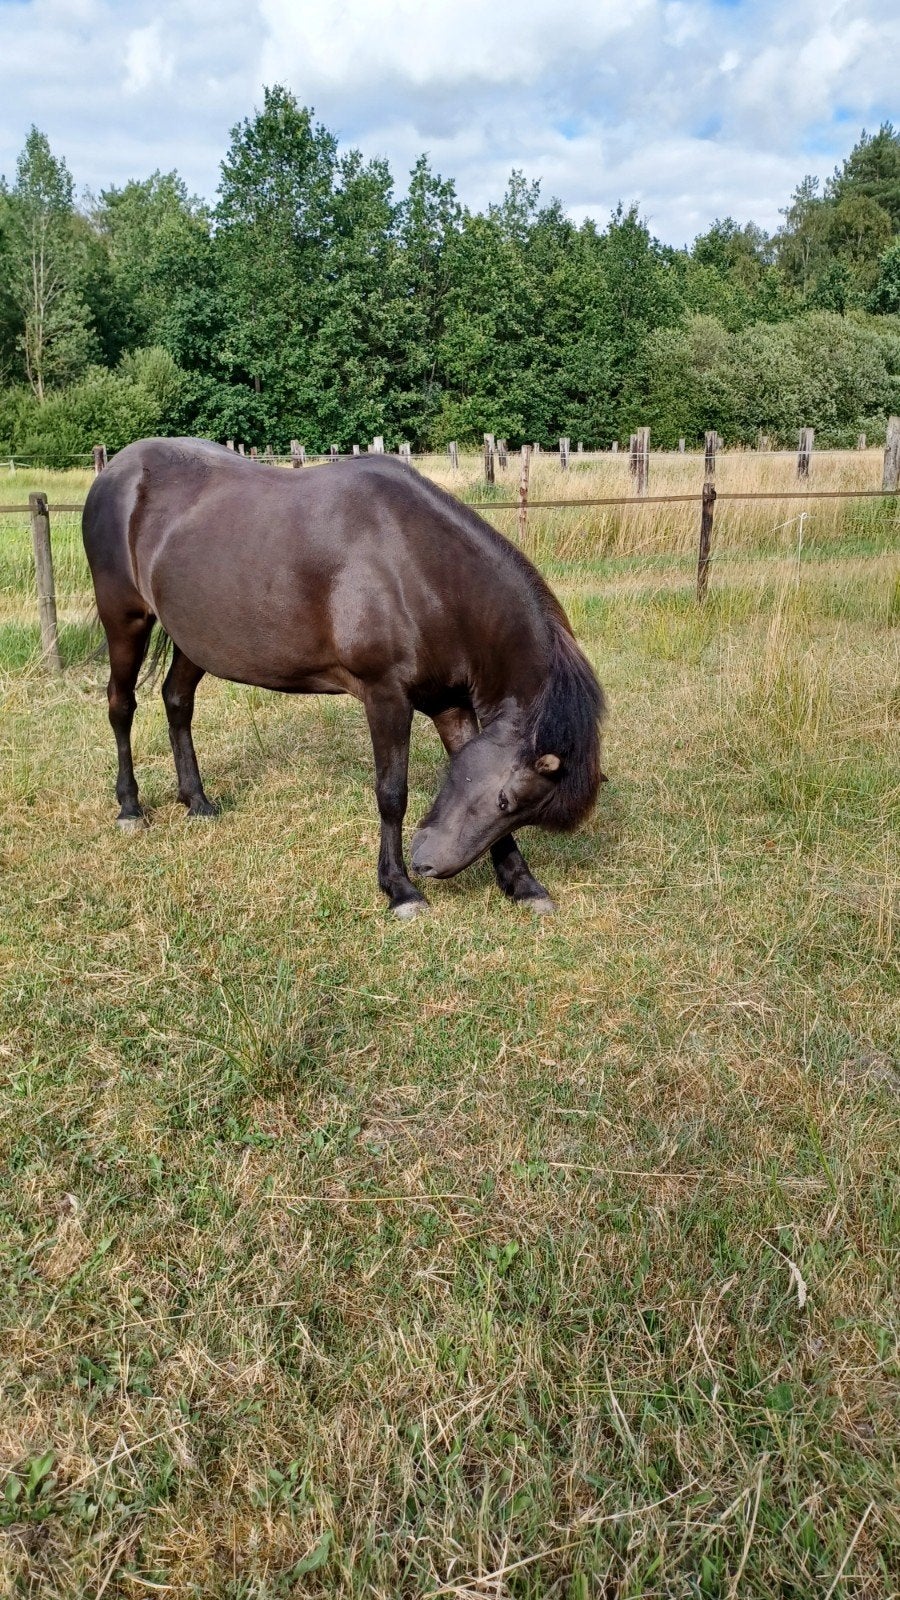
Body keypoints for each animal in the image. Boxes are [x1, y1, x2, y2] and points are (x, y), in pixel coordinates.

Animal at [82, 439, 606, 918]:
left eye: (516, 808)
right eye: (504, 800)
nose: (427, 863)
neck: (416, 568)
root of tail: (120, 468)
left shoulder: (449, 703)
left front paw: (523, 883)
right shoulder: (385, 696)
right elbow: (391, 793)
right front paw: (399, 889)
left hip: (197, 638)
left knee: (177, 701)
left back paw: (197, 801)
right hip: (125, 620)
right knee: (120, 705)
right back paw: (130, 808)